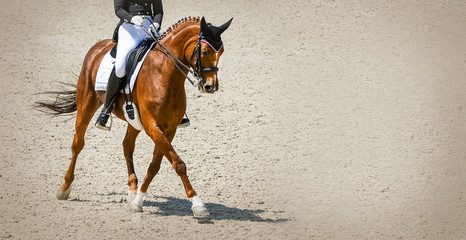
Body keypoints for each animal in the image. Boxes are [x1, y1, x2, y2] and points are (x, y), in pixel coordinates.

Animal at [34, 15, 233, 217]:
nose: (211, 86)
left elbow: (155, 165)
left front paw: (138, 200)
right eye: (205, 51)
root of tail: (98, 46)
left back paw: (132, 189)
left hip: (134, 121)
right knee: (78, 144)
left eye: (222, 52)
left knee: (127, 146)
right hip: (86, 104)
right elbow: (178, 163)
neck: (164, 74)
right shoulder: (153, 126)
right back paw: (64, 187)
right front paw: (197, 203)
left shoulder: (169, 129)